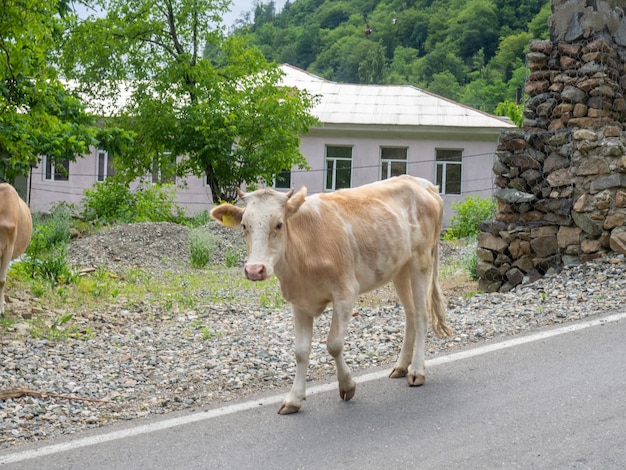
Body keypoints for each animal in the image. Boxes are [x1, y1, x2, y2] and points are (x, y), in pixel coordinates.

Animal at [212, 174, 450, 414]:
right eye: (244, 225)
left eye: (278, 224)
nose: (254, 270)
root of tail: (423, 183)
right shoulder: (299, 302)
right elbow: (300, 351)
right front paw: (294, 398)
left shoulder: (345, 292)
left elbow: (334, 344)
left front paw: (347, 385)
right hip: (400, 268)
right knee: (410, 314)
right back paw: (401, 366)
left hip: (421, 261)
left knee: (421, 315)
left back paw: (416, 371)